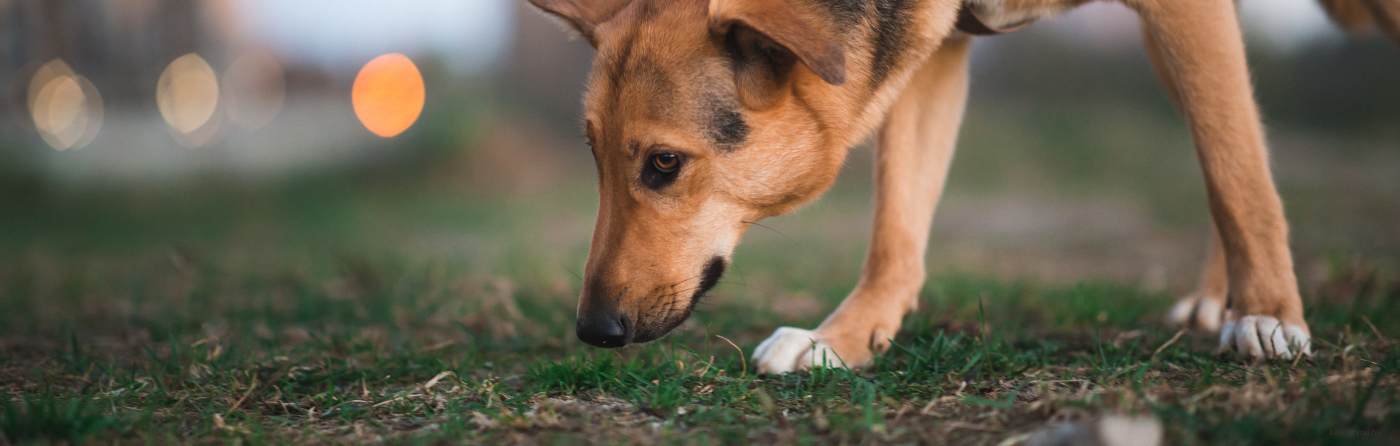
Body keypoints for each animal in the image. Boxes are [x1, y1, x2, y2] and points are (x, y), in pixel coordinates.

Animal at [526, 0, 1400, 374]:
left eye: (663, 164)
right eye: (593, 157)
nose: (592, 331)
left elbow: (1234, 166)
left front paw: (1271, 316)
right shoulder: (933, 47)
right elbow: (897, 227)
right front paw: (843, 339)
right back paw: (1216, 297)